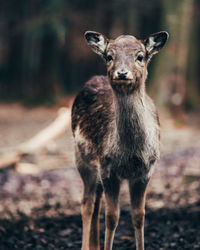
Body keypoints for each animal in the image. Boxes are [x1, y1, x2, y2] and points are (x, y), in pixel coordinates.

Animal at [71, 30, 169, 250]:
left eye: (140, 56)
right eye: (109, 56)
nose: (122, 73)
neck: (130, 154)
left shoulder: (146, 171)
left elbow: (139, 216)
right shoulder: (108, 169)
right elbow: (112, 217)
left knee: (96, 201)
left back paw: (95, 246)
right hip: (82, 158)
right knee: (87, 203)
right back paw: (86, 246)